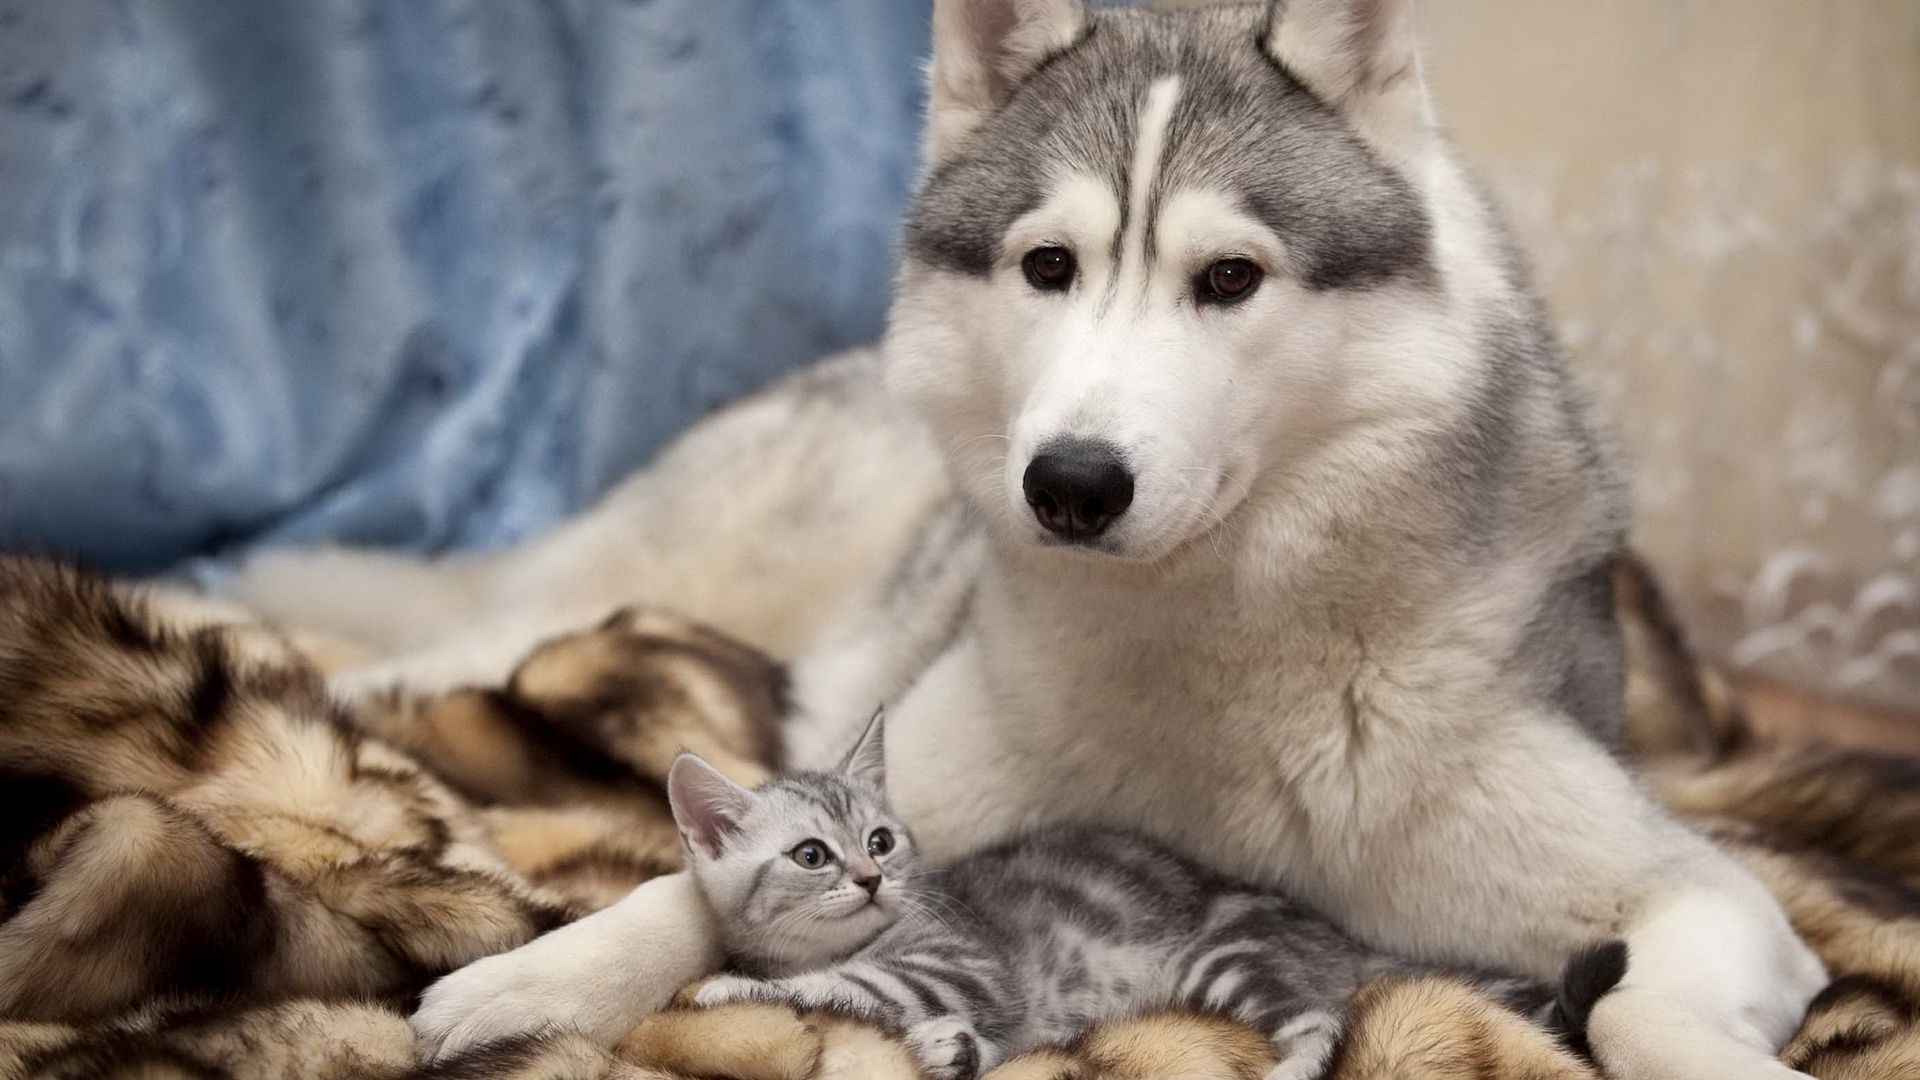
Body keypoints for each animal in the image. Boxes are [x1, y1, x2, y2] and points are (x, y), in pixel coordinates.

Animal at [668, 707, 1566, 1076]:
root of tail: (1334, 936)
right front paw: (951, 1050)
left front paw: (725, 986)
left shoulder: (958, 964)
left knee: (1321, 1021)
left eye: (881, 841)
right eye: (812, 855)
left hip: (1227, 954)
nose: (871, 877)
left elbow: (843, 982)